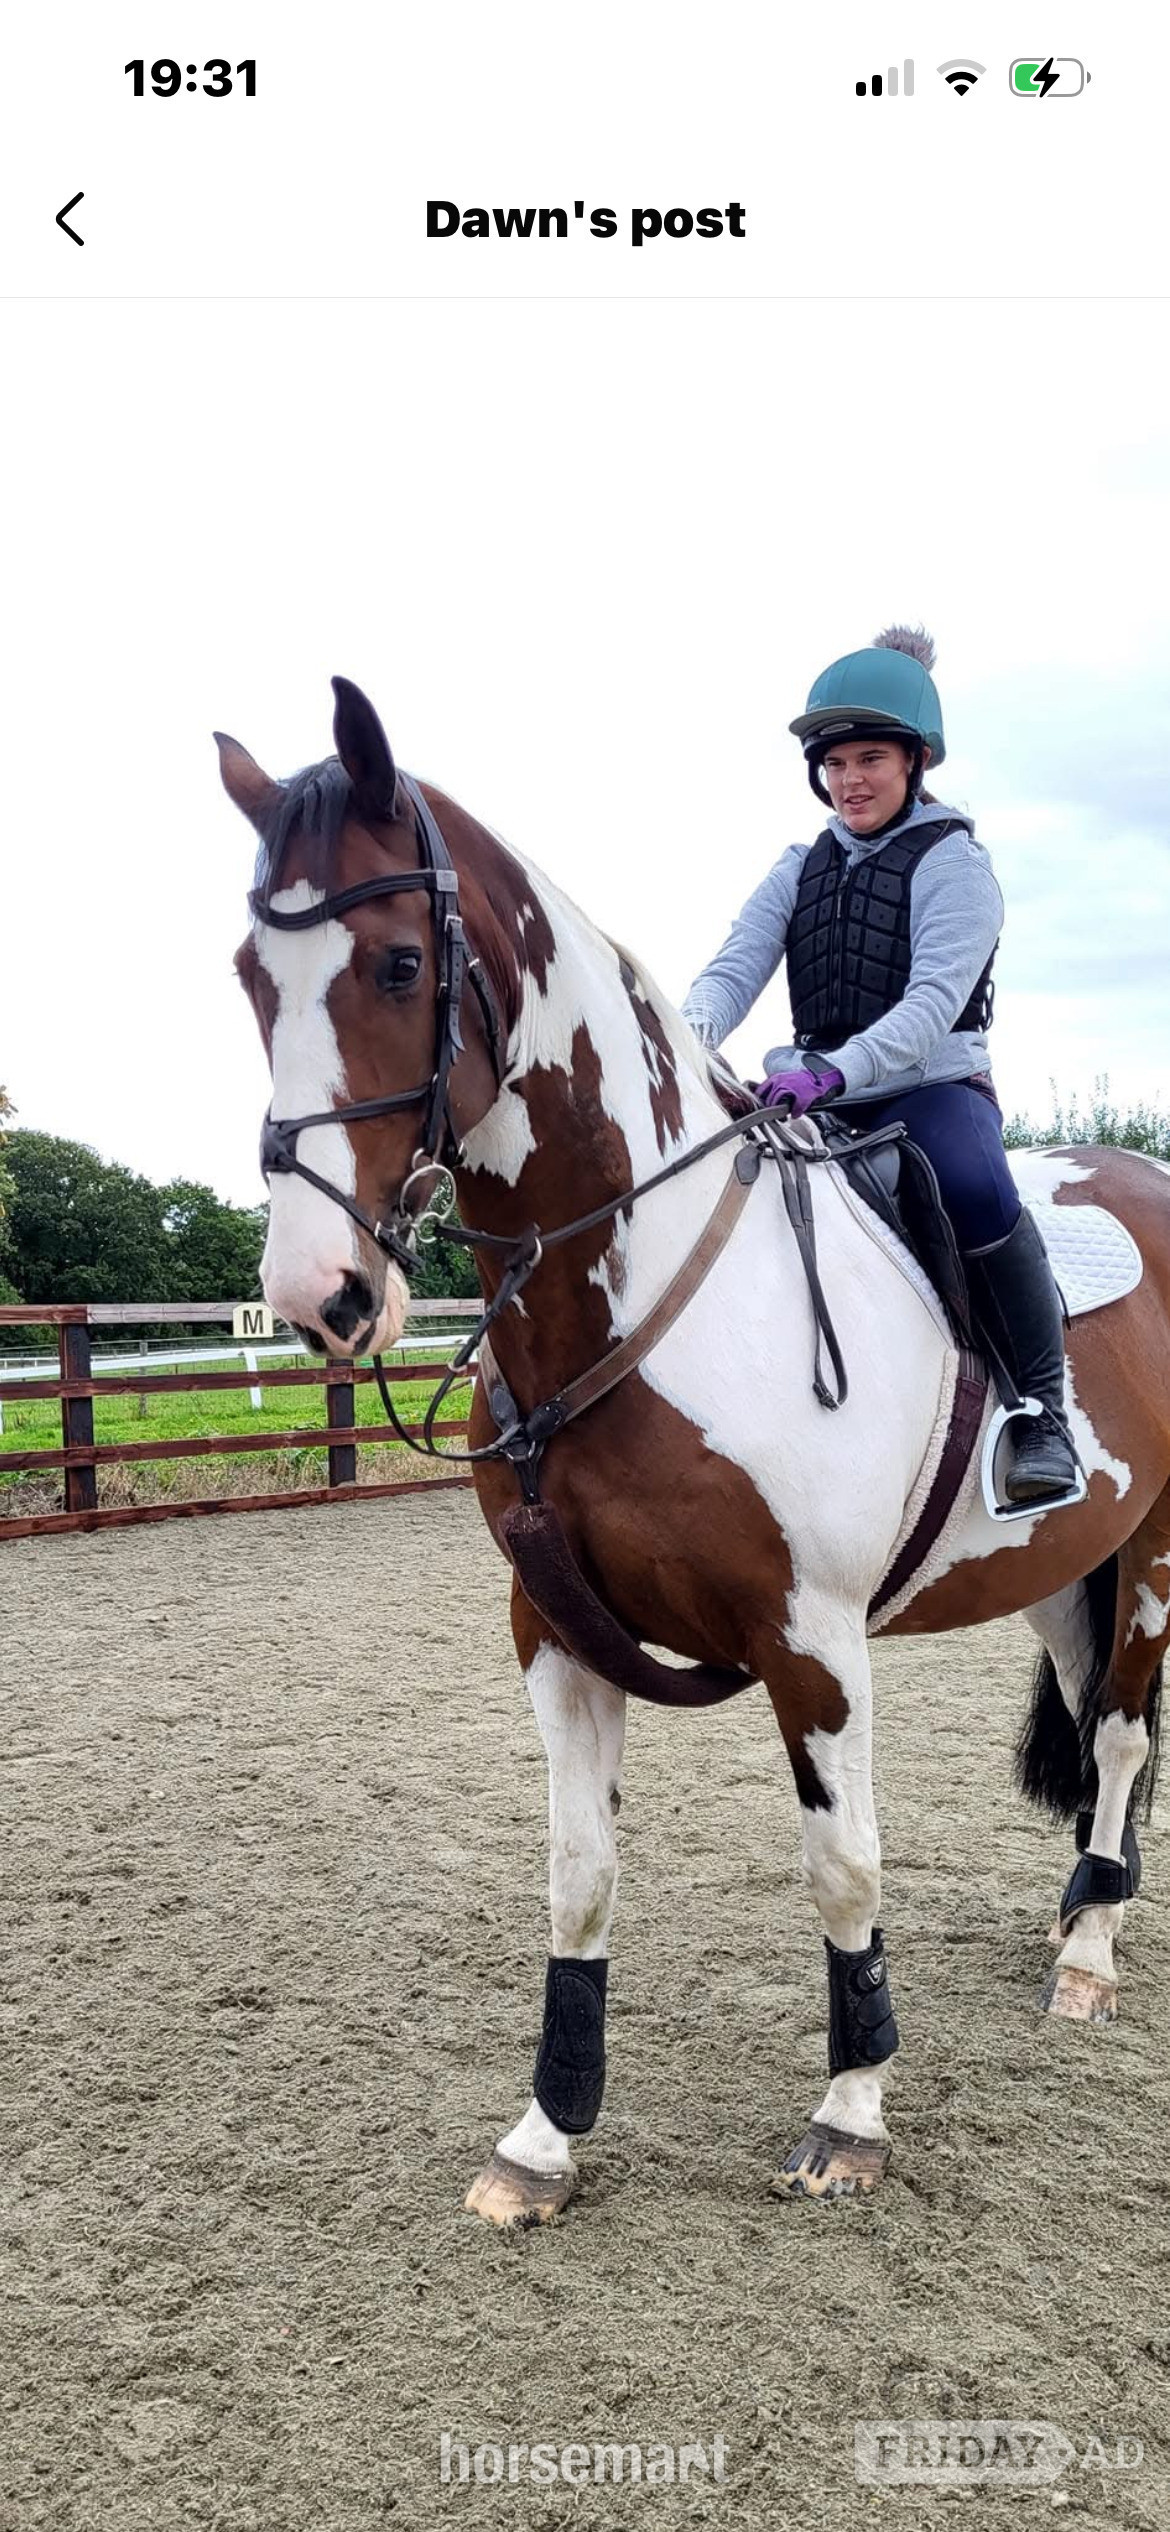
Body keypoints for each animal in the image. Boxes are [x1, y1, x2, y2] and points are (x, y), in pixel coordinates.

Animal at [222, 677, 1170, 2227]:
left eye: (402, 965)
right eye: (252, 973)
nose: (322, 1295)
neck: (648, 1299)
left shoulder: (813, 1643)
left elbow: (844, 1872)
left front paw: (850, 2113)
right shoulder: (554, 1633)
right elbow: (577, 1875)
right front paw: (544, 2137)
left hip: (1147, 1552)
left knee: (1131, 1728)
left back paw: (1088, 1957)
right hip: (1058, 1561)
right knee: (1097, 1724)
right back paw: (1083, 1913)